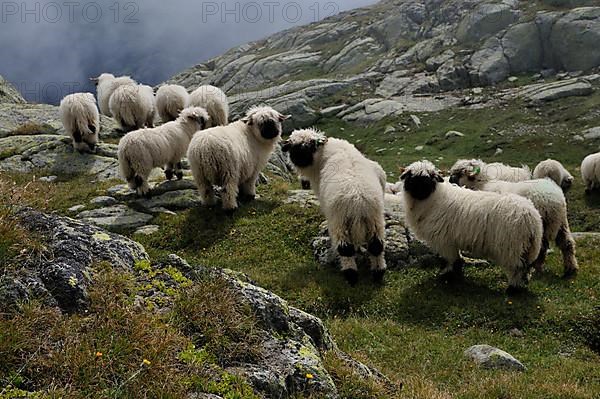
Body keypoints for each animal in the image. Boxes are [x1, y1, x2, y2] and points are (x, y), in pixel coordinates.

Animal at [280, 130, 386, 286]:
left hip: (339, 221)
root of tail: (358, 201)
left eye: (302, 148)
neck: (321, 154)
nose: (299, 161)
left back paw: (351, 276)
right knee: (376, 246)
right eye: (297, 148)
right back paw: (378, 273)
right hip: (375, 219)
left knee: (345, 249)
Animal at [404, 161, 544, 296]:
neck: (433, 199)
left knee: (517, 269)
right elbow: (457, 258)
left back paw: (513, 290)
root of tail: (531, 217)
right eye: (412, 178)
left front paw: (447, 276)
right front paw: (456, 274)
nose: (420, 191)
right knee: (526, 268)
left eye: (430, 178)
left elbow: (449, 260)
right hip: (526, 247)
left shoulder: (444, 241)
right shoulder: (452, 240)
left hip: (511, 246)